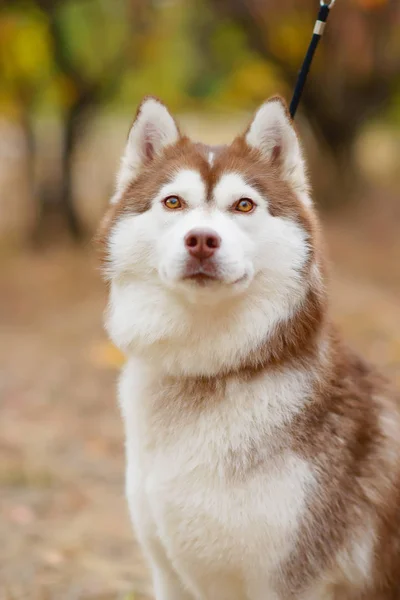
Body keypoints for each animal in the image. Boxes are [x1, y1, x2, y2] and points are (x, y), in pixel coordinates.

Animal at [97, 96, 400, 596]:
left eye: (243, 205)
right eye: (173, 202)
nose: (201, 240)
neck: (211, 371)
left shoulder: (289, 581)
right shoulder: (168, 574)